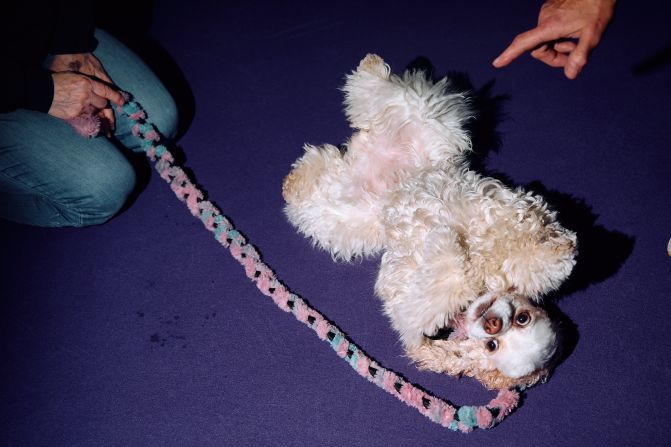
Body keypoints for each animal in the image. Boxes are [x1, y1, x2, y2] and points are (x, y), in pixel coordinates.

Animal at [284, 54, 576, 390]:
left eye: (493, 346)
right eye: (522, 318)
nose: (493, 323)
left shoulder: (412, 310)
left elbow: (443, 281)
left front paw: (446, 246)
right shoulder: (506, 210)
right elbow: (531, 243)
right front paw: (548, 246)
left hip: (342, 213)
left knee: (321, 171)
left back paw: (298, 179)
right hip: (427, 121)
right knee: (390, 95)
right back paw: (371, 68)